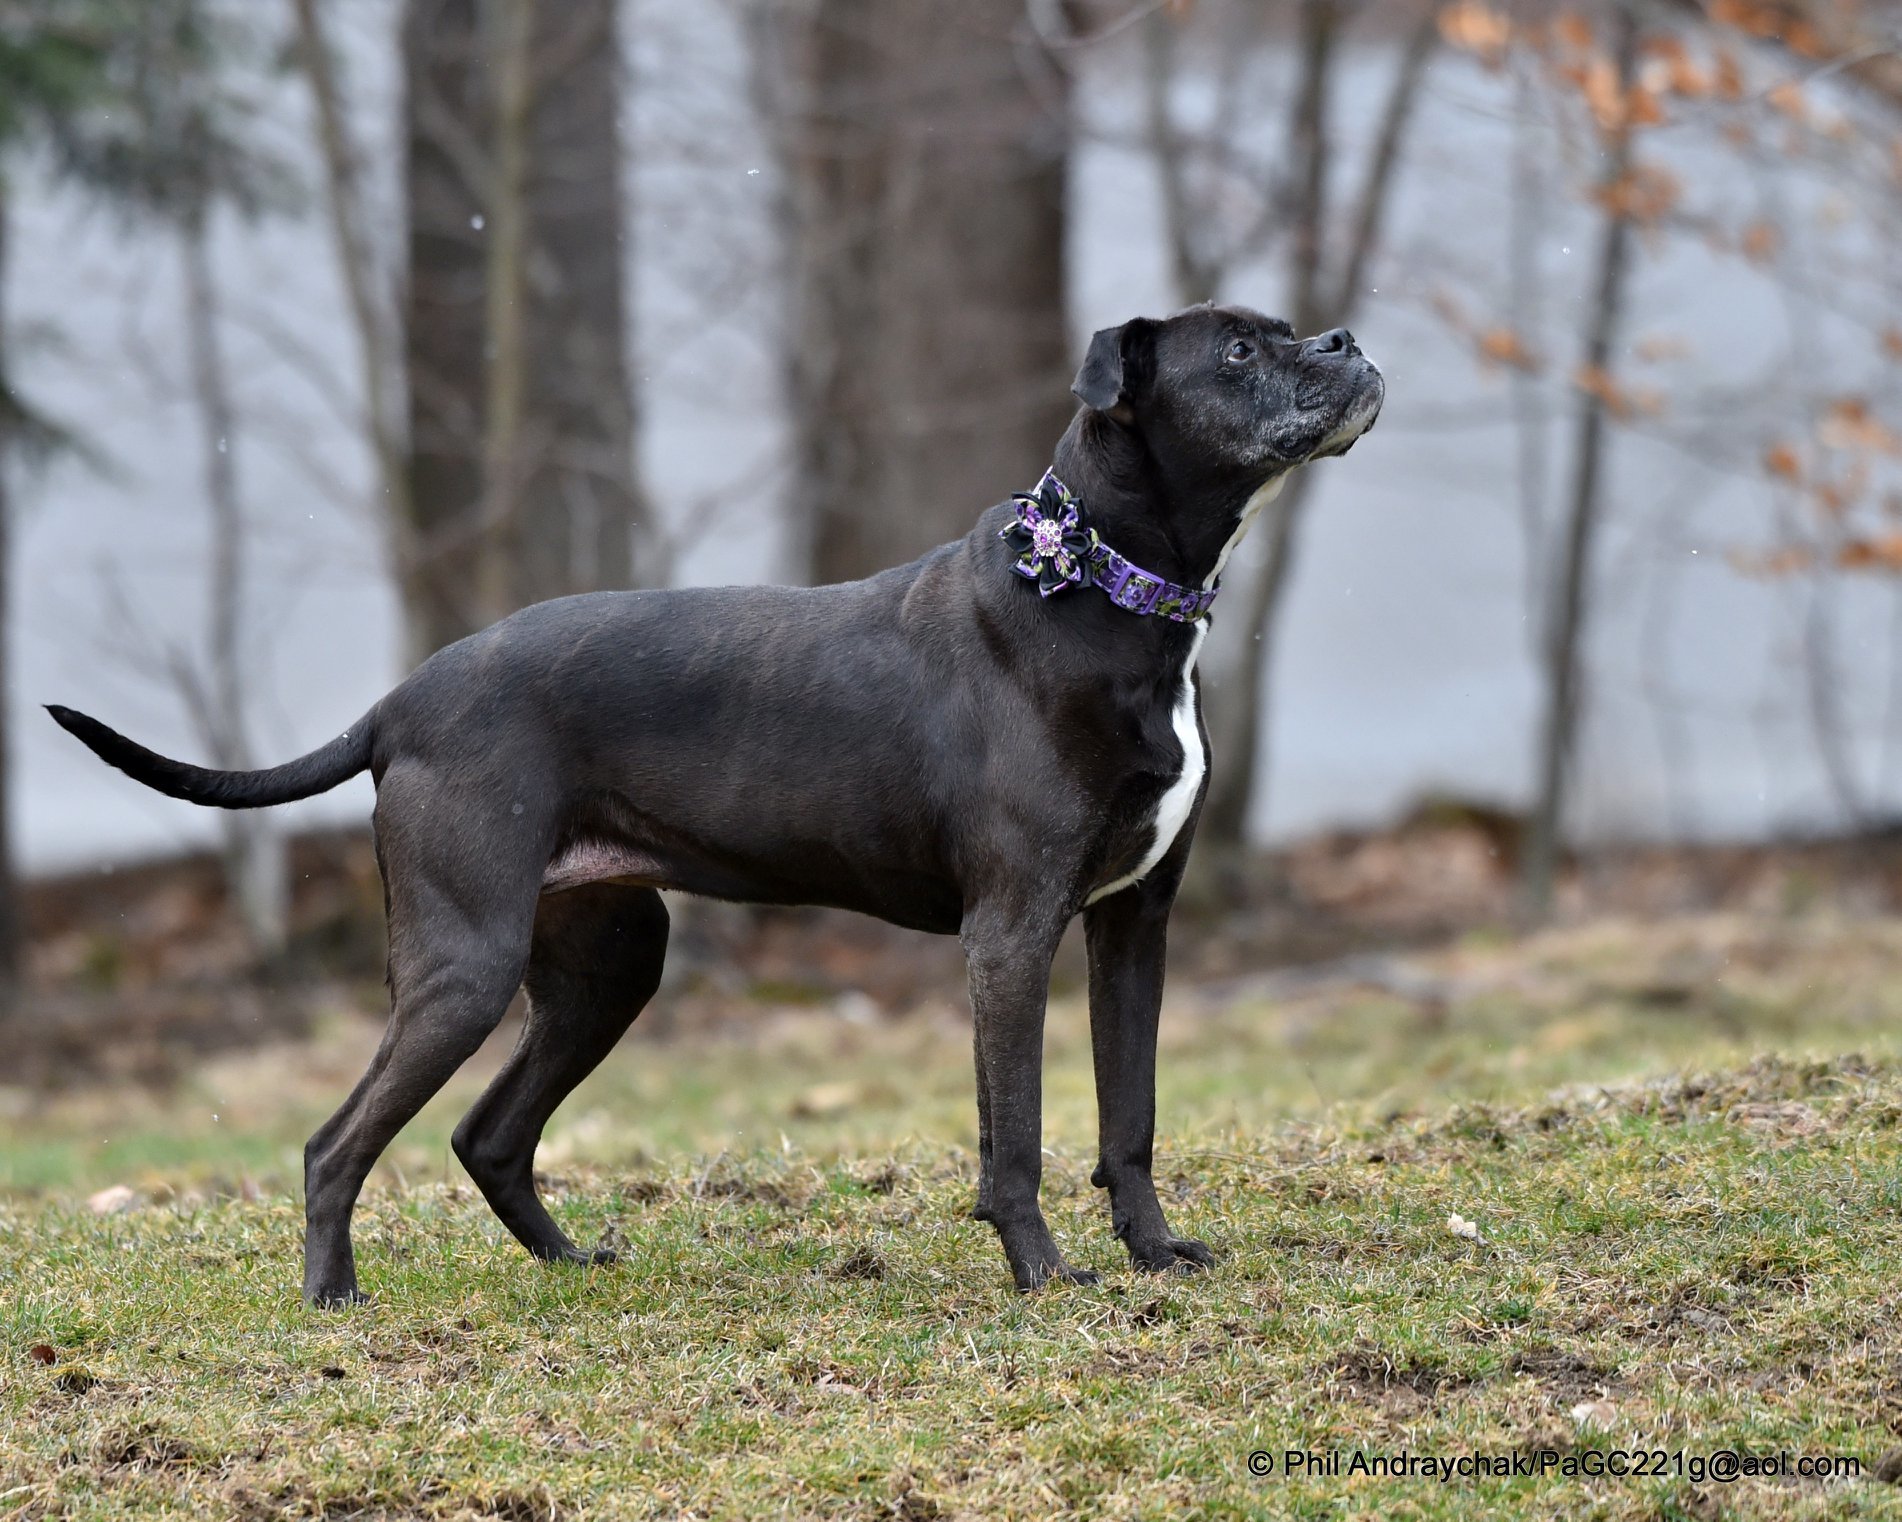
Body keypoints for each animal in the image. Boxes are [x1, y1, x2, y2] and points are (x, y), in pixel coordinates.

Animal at [48, 302, 1384, 1301]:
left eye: (1280, 331)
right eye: (1239, 352)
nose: (1345, 338)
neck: (1103, 584)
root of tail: (396, 703)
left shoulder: (1133, 923)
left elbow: (1130, 1113)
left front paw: (1155, 1252)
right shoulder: (1012, 935)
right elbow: (1016, 1134)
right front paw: (1045, 1277)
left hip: (605, 960)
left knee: (488, 1134)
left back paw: (570, 1264)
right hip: (464, 960)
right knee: (336, 1142)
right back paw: (335, 1297)